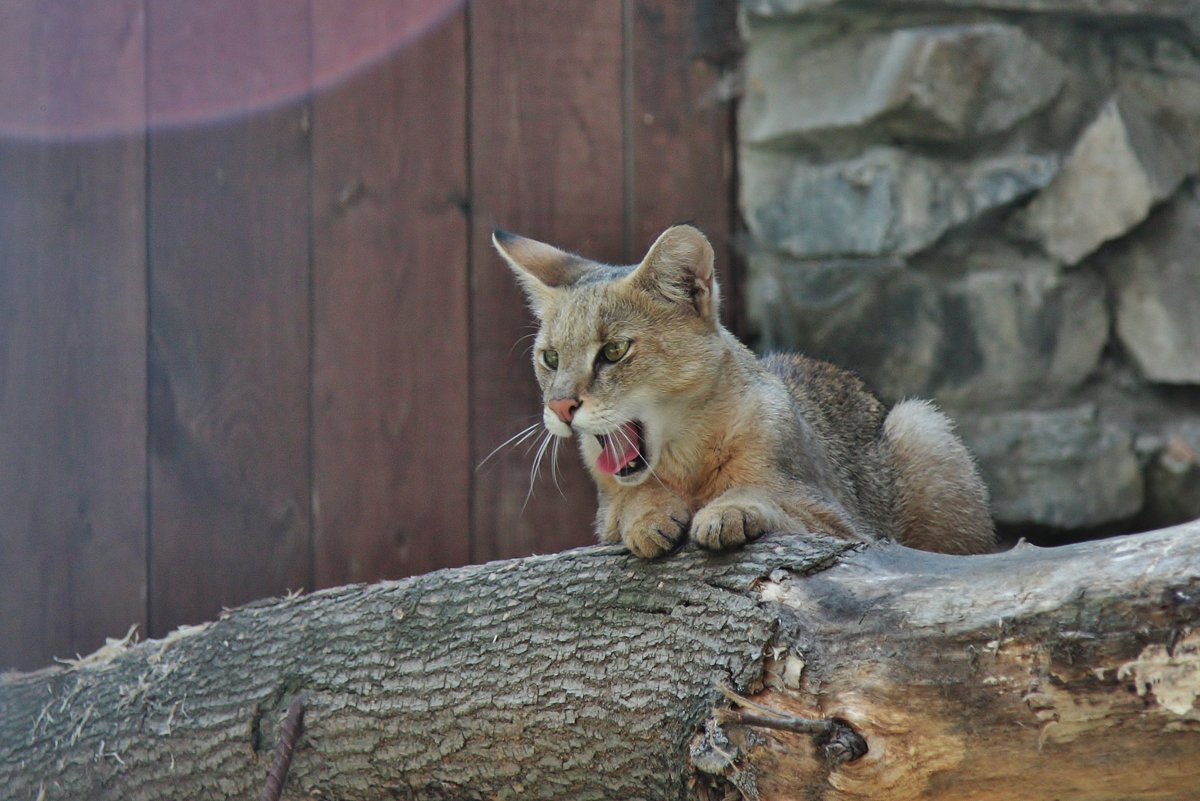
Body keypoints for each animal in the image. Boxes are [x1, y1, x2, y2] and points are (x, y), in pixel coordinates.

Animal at [494, 221, 993, 553]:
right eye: (550, 358)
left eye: (614, 350)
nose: (560, 406)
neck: (688, 462)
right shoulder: (607, 516)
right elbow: (628, 500)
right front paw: (648, 514)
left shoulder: (843, 524)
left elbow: (771, 499)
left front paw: (730, 510)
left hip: (920, 424)